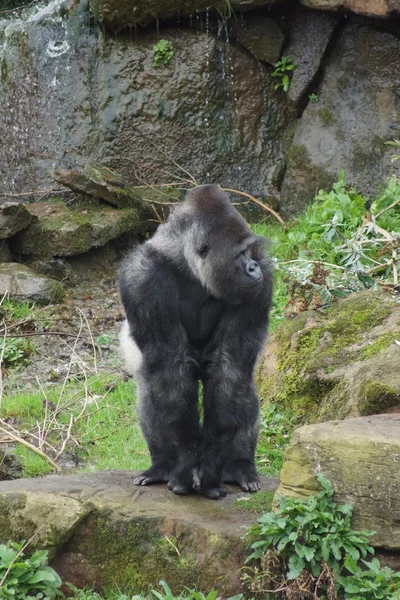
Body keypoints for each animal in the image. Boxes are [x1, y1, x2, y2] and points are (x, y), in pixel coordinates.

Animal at [119, 185, 272, 500]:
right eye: (239, 254)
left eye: (249, 251)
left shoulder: (262, 281)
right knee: (151, 387)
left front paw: (211, 466)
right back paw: (163, 465)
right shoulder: (142, 281)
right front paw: (187, 462)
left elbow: (229, 369)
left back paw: (239, 465)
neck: (185, 263)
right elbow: (170, 373)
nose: (252, 267)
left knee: (239, 386)